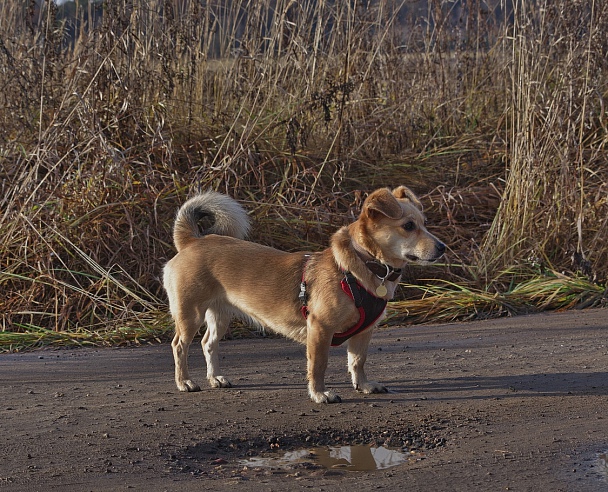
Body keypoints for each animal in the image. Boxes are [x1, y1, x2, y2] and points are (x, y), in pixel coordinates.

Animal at [164, 186, 444, 402]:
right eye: (408, 226)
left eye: (424, 224)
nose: (442, 247)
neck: (361, 266)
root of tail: (191, 242)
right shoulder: (320, 329)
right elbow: (318, 366)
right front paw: (319, 394)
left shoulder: (364, 332)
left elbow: (358, 361)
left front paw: (363, 385)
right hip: (190, 315)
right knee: (179, 346)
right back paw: (184, 382)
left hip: (220, 315)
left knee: (208, 343)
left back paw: (215, 378)